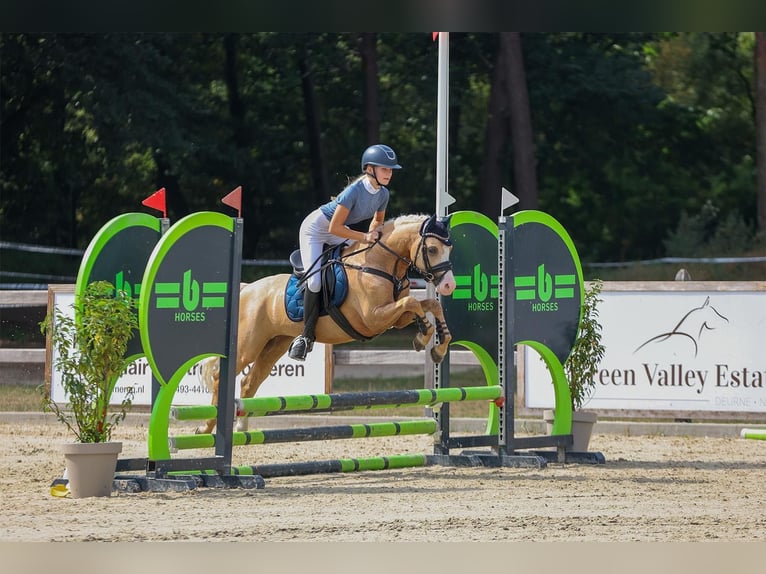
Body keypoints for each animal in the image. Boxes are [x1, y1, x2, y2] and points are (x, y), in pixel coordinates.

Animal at [198, 213, 456, 434]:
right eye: (432, 249)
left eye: (449, 248)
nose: (448, 286)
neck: (378, 265)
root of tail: (247, 289)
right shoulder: (373, 318)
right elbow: (412, 302)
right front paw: (424, 335)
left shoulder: (393, 318)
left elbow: (428, 306)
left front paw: (437, 346)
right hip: (247, 346)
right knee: (221, 377)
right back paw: (206, 427)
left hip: (274, 344)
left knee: (249, 381)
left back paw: (241, 427)